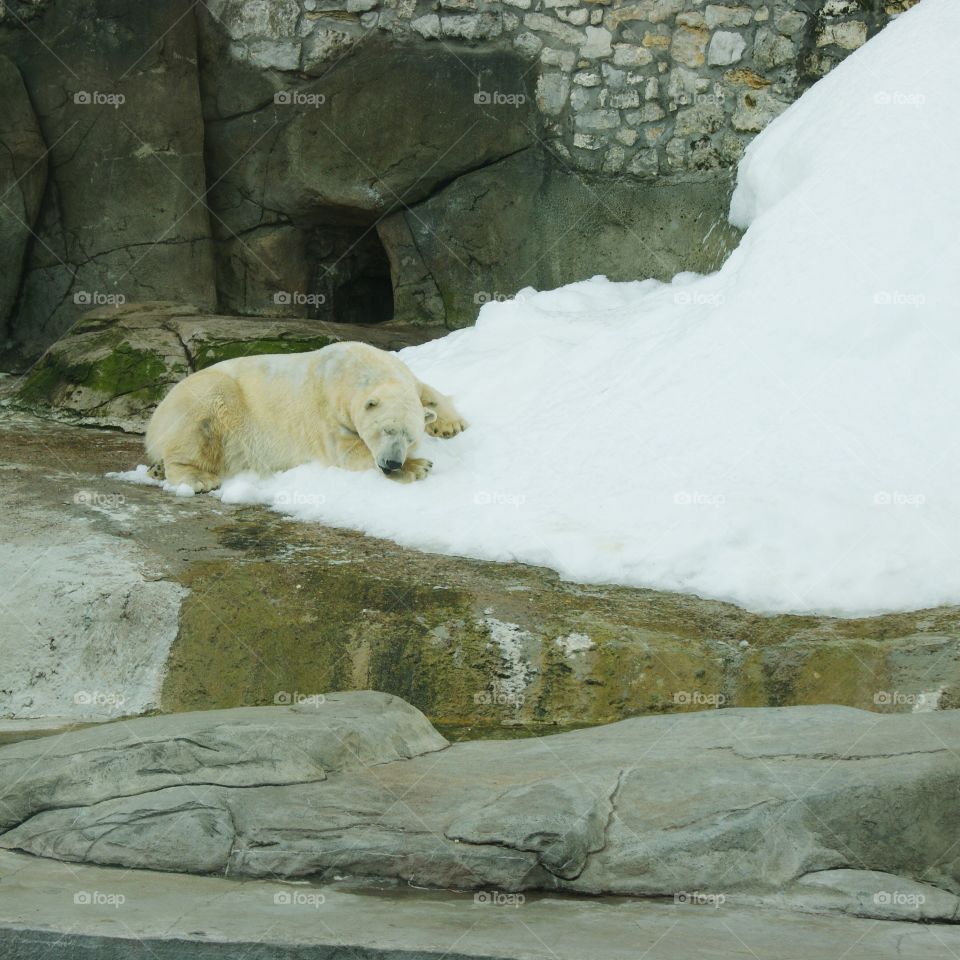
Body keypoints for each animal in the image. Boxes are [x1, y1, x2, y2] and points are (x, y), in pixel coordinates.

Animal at [144, 341, 468, 492]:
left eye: (410, 437)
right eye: (385, 430)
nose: (391, 463)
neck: (351, 366)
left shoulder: (402, 375)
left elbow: (425, 389)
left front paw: (451, 425)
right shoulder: (328, 409)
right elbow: (347, 450)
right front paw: (419, 466)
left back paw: (156, 469)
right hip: (208, 395)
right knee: (198, 427)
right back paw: (197, 478)